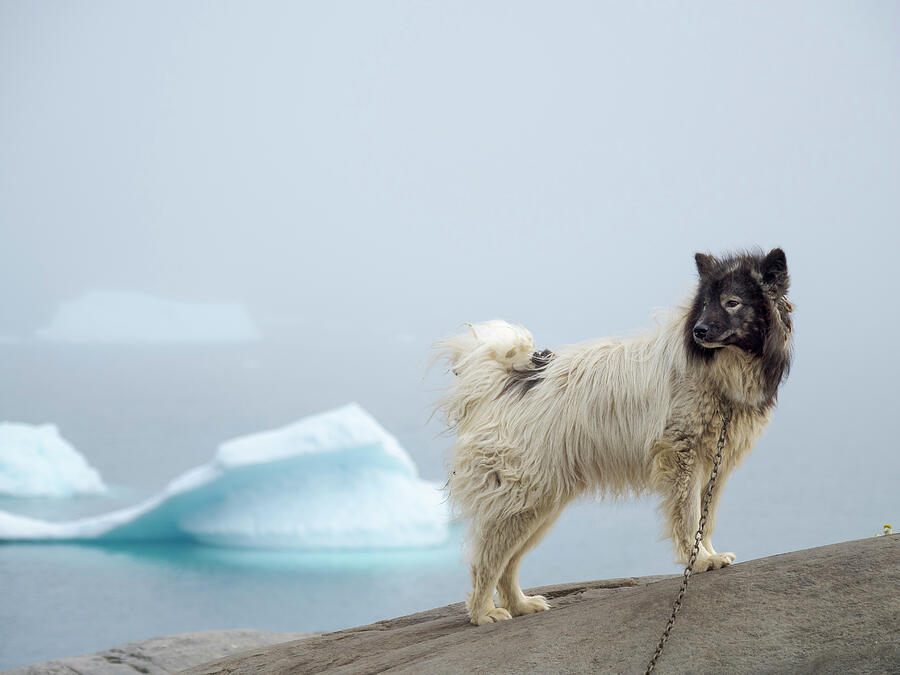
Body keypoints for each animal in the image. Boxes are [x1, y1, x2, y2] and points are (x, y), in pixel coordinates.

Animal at [436, 250, 796, 628]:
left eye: (732, 302)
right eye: (704, 304)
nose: (699, 331)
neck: (720, 369)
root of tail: (501, 383)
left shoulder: (715, 463)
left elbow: (705, 520)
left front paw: (708, 556)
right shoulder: (680, 455)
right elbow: (688, 516)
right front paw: (698, 561)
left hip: (539, 505)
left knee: (509, 561)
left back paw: (520, 605)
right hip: (522, 498)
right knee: (488, 558)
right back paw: (484, 613)